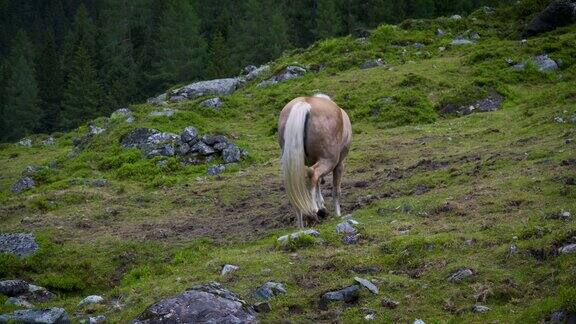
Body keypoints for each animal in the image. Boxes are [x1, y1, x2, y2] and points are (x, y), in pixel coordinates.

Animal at [278, 93, 354, 228]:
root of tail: (305, 103)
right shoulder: (340, 164)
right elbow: (336, 190)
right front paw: (337, 214)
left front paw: (322, 205)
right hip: (329, 161)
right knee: (314, 174)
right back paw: (314, 211)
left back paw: (302, 224)